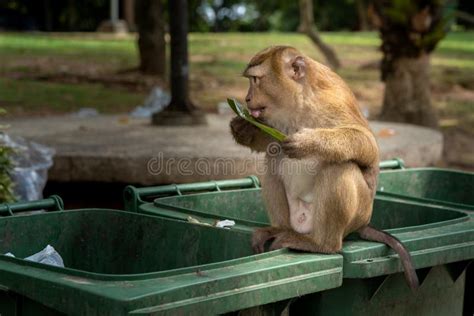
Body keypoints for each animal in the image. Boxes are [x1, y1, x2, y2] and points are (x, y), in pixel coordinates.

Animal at [230, 45, 418, 292]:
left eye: (255, 80)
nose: (247, 98)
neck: (299, 102)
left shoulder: (331, 102)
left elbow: (366, 144)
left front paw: (309, 142)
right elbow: (270, 140)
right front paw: (243, 128)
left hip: (356, 214)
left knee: (338, 166)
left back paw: (323, 245)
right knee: (272, 156)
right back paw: (279, 229)